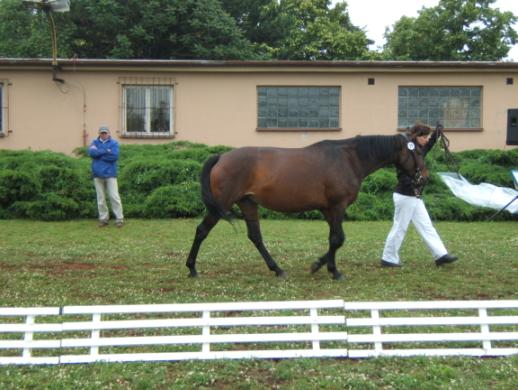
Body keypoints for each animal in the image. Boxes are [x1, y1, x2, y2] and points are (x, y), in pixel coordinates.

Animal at [185, 135, 428, 280]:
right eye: (417, 152)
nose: (424, 177)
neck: (349, 159)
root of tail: (221, 157)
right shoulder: (337, 206)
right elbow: (337, 239)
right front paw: (332, 271)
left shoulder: (328, 209)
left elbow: (336, 239)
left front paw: (320, 265)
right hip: (222, 205)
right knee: (201, 231)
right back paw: (192, 269)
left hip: (248, 203)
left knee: (255, 237)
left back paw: (277, 269)